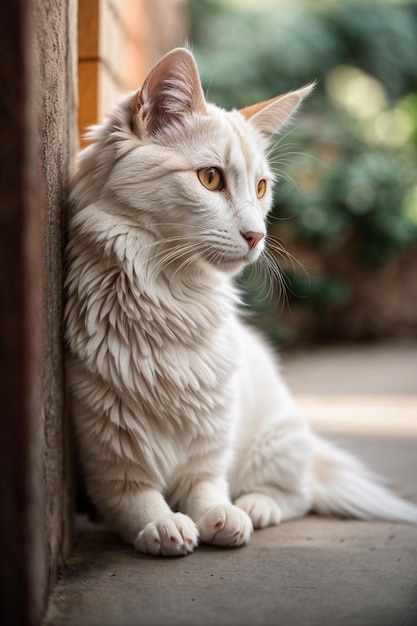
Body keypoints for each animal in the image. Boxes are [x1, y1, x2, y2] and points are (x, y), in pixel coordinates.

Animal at [65, 50, 416, 556]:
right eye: (210, 178)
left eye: (262, 188)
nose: (257, 236)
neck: (172, 296)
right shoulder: (110, 458)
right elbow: (138, 503)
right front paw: (163, 527)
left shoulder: (211, 440)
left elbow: (208, 489)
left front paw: (222, 517)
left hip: (276, 440)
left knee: (296, 494)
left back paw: (256, 506)